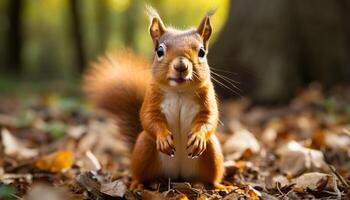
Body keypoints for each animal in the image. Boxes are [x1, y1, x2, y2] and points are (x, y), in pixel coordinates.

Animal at [83, 6, 228, 191]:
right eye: (160, 51)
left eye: (202, 52)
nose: (181, 66)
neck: (179, 91)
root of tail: (178, 176)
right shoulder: (152, 97)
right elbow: (148, 117)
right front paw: (163, 138)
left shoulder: (207, 98)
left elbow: (209, 118)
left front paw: (198, 137)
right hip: (144, 147)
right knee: (141, 173)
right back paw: (138, 183)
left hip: (212, 152)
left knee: (212, 175)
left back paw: (218, 186)